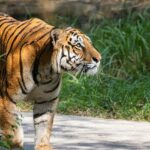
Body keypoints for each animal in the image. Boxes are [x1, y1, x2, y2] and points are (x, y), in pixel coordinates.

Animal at [0, 12, 101, 150]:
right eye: (78, 46)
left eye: (90, 44)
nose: (99, 58)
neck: (47, 71)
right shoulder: (6, 98)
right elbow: (12, 130)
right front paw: (16, 143)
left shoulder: (46, 101)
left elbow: (43, 127)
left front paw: (43, 146)